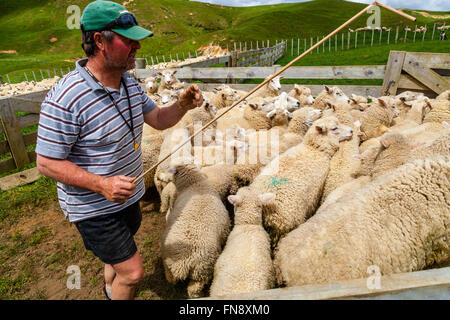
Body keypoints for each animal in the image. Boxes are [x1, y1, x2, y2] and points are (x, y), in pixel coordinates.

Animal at [162, 164, 230, 298]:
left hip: (198, 272)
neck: (196, 184)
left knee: (182, 284)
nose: (160, 176)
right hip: (199, 271)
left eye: (169, 169)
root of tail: (183, 263)